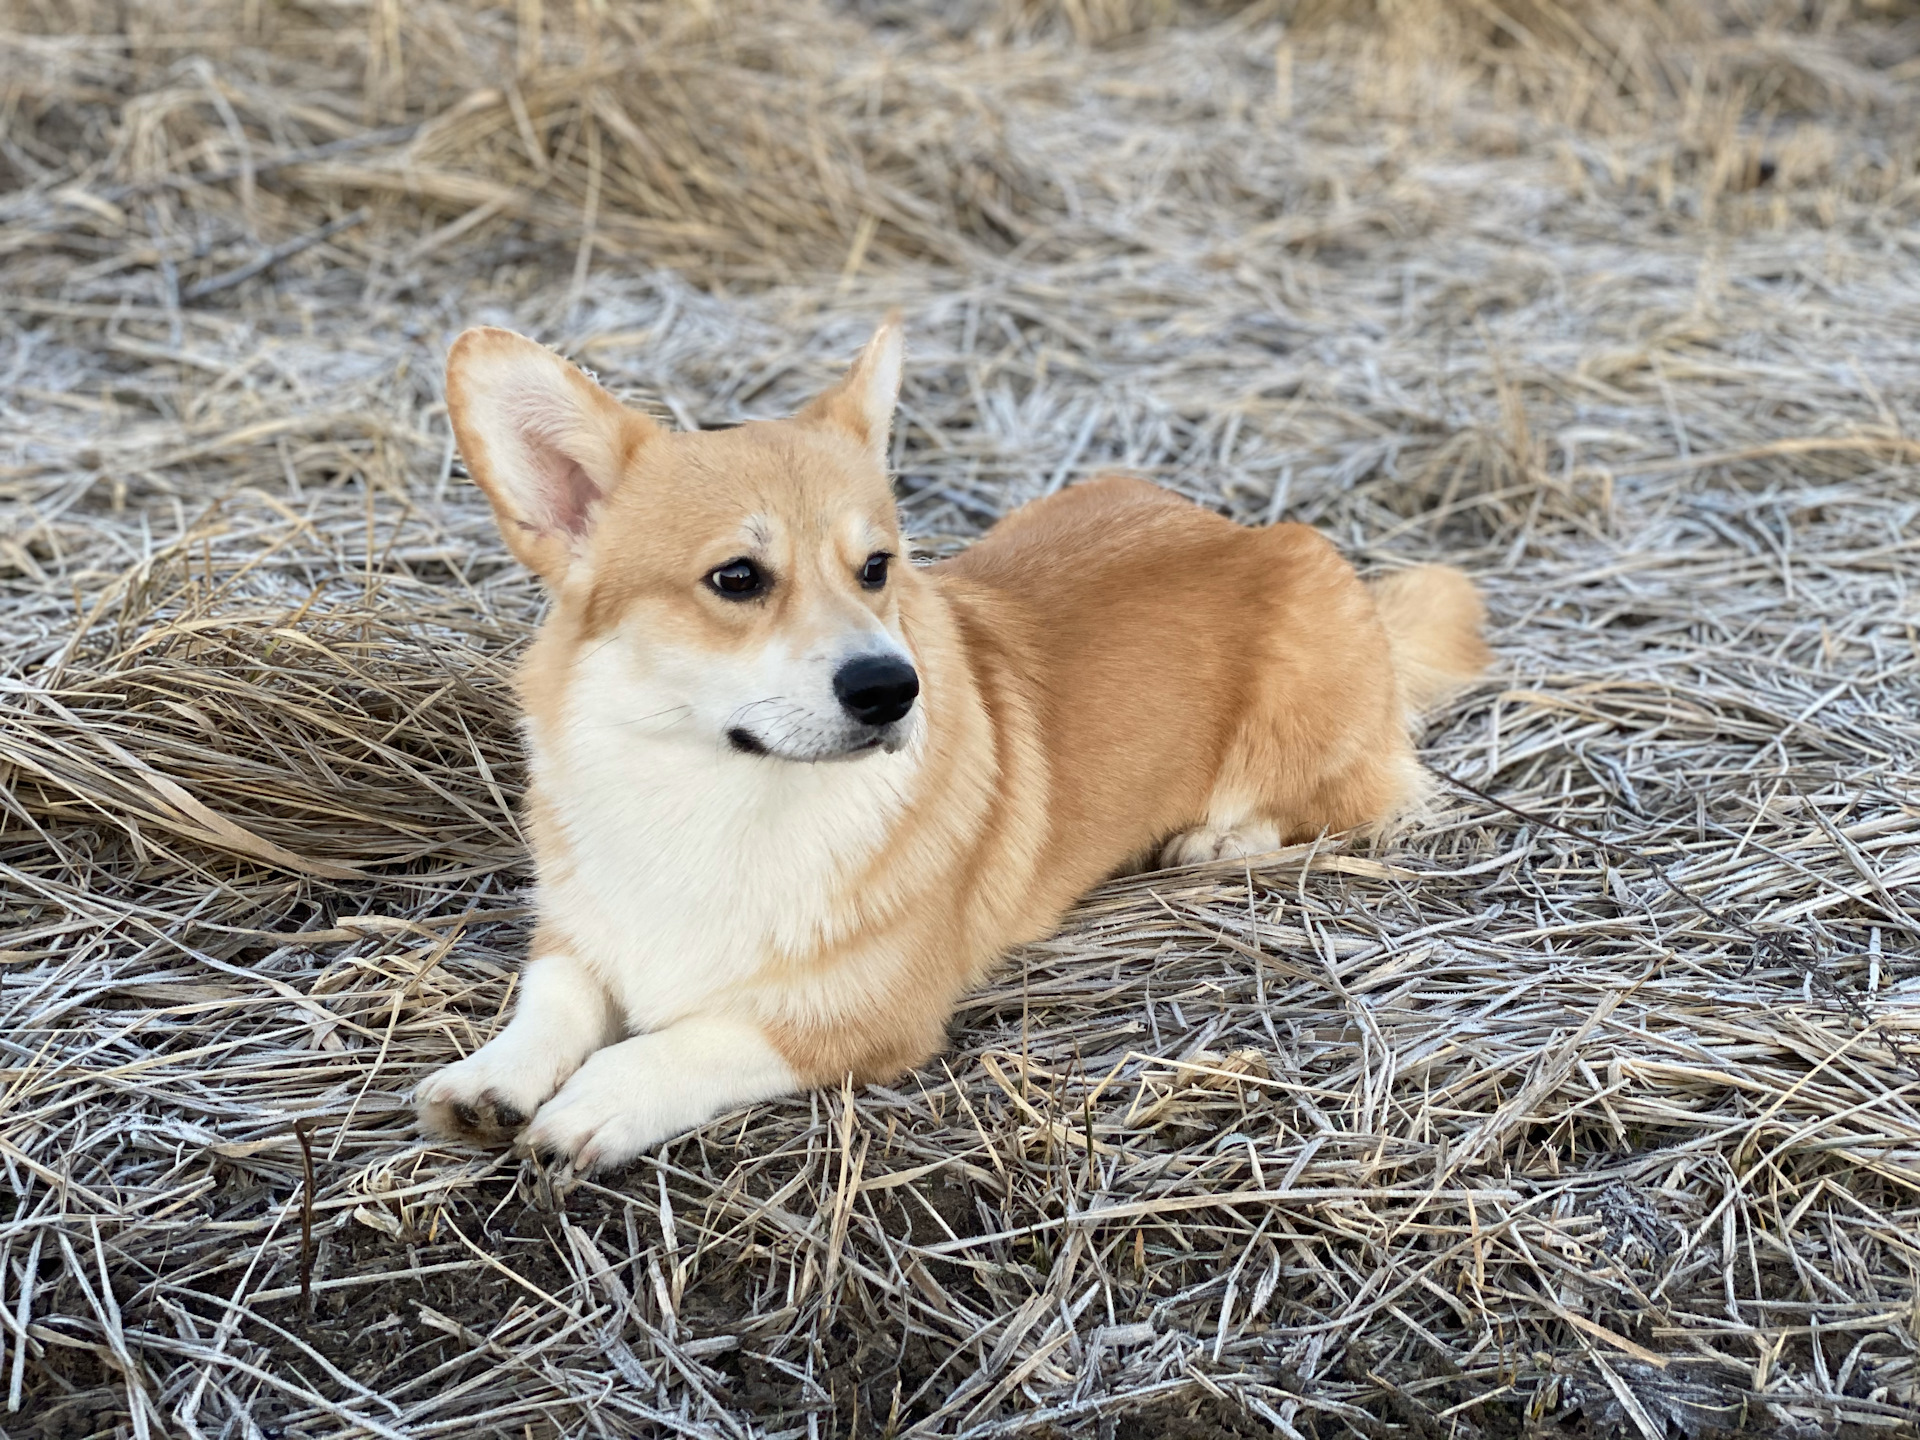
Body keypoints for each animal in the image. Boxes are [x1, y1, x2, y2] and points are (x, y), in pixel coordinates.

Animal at [416, 318, 1482, 1175]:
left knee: (1360, 796)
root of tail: (1246, 528)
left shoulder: (862, 1012)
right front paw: (491, 1078)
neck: (717, 793)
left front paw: (597, 1098)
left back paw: (1221, 838)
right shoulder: (581, 931)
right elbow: (552, 998)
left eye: (876, 567)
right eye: (737, 577)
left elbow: (690, 1040)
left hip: (1309, 697)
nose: (893, 689)